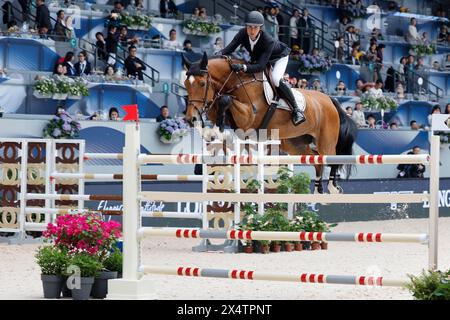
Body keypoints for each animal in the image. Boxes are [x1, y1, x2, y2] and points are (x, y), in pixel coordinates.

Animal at [184, 52, 358, 194]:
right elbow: (219, 110)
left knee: (331, 159)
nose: (190, 118)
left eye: (202, 84)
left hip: (325, 141)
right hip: (295, 144)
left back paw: (332, 187)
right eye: (186, 84)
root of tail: (330, 100)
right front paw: (211, 131)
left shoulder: (248, 116)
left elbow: (225, 100)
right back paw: (317, 190)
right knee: (317, 160)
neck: (236, 81)